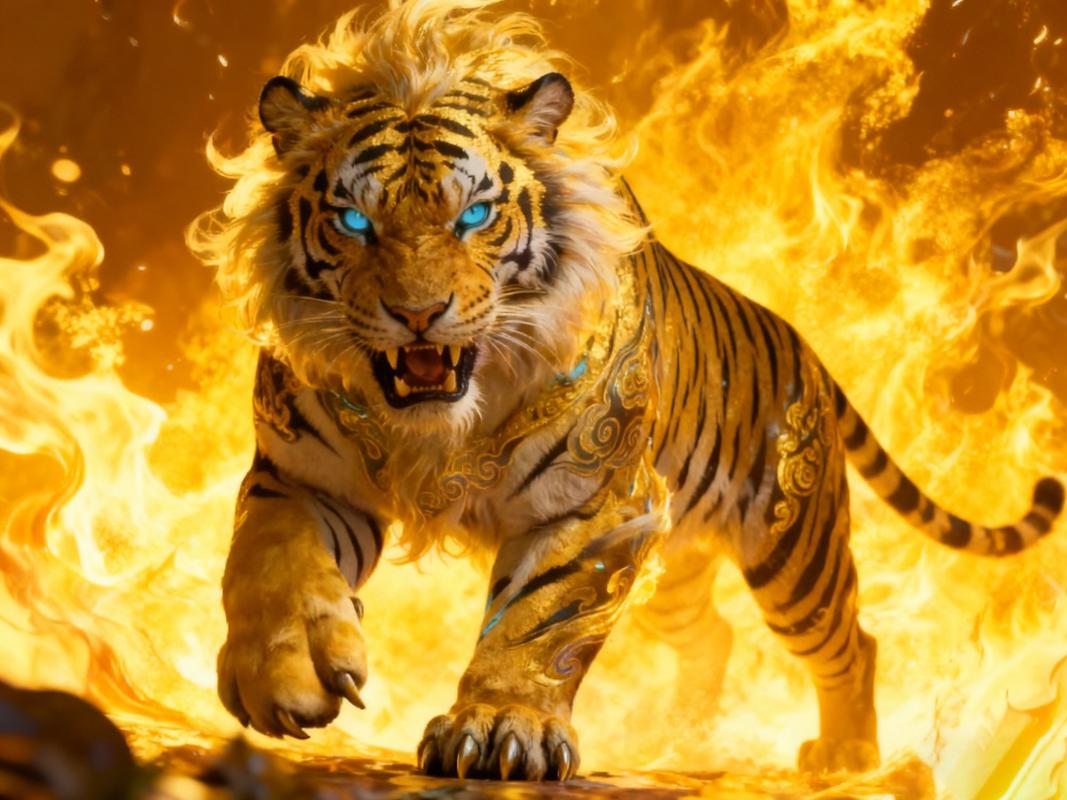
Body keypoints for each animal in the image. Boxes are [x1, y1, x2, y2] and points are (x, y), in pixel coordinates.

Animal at [188, 0, 1065, 781]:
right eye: (356, 223)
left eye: (473, 216)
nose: (417, 314)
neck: (441, 428)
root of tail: (805, 349)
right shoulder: (303, 475)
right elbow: (271, 564)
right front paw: (282, 679)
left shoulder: (597, 504)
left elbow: (538, 621)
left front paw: (500, 729)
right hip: (678, 568)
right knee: (711, 635)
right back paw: (685, 730)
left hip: (795, 554)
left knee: (851, 642)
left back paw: (847, 753)